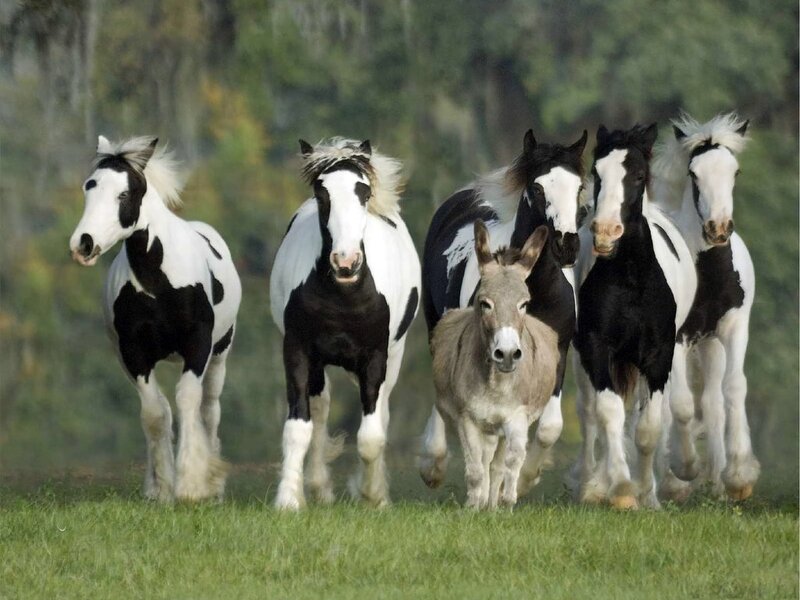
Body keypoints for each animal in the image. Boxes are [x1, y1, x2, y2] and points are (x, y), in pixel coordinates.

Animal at [69, 136, 242, 502]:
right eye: (89, 187)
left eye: (124, 194)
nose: (84, 244)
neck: (158, 282)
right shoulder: (134, 352)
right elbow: (154, 413)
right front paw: (162, 489)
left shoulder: (197, 346)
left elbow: (188, 402)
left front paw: (190, 486)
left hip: (220, 354)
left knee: (210, 411)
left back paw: (214, 486)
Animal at [270, 138, 420, 510]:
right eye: (321, 194)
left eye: (363, 193)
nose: (346, 262)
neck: (344, 296)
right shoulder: (298, 351)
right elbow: (298, 428)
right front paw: (289, 499)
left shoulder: (375, 357)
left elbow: (370, 436)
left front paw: (372, 496)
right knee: (320, 409)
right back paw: (319, 488)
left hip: (393, 358)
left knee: (381, 414)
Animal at [430, 220, 558, 509]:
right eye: (484, 303)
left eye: (524, 304)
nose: (508, 354)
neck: (496, 384)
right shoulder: (468, 419)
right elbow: (476, 469)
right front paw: (473, 507)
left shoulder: (517, 417)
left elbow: (510, 463)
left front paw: (505, 504)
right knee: (485, 460)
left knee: (497, 463)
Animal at [571, 124, 697, 509]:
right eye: (597, 173)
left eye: (639, 176)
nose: (605, 232)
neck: (629, 277)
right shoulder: (597, 348)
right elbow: (608, 413)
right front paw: (622, 490)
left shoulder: (658, 355)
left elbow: (648, 428)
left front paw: (647, 495)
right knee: (590, 413)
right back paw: (592, 484)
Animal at [651, 112, 759, 500]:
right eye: (694, 173)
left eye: (735, 171)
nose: (718, 229)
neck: (709, 274)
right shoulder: (677, 338)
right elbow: (681, 405)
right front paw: (683, 469)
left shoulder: (734, 328)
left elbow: (735, 388)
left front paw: (739, 477)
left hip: (711, 345)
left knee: (713, 401)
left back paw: (715, 480)